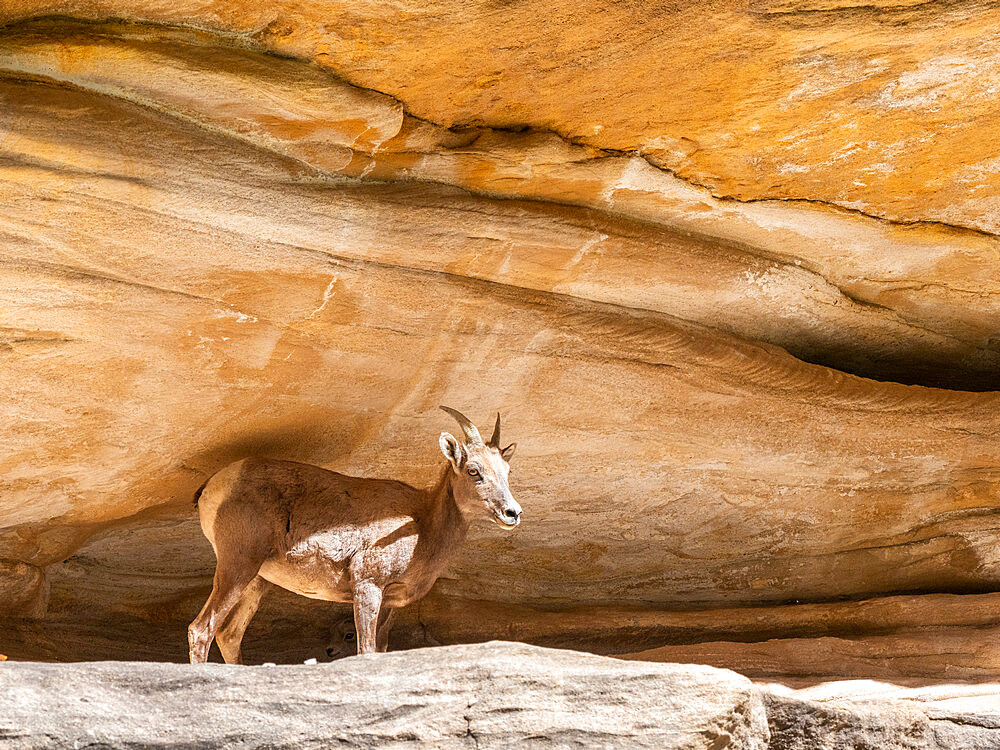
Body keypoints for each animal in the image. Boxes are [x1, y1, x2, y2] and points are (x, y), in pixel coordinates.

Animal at [185, 406, 524, 664]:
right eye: (473, 470)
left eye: (507, 472)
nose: (513, 512)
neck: (423, 524)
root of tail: (214, 487)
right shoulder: (367, 587)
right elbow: (365, 650)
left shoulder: (388, 603)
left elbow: (379, 649)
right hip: (237, 564)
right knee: (201, 629)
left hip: (257, 581)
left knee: (228, 634)